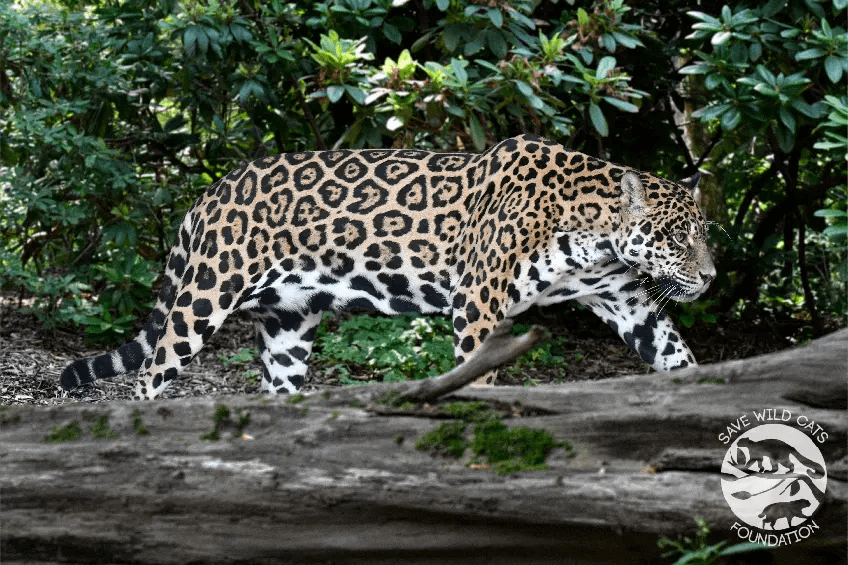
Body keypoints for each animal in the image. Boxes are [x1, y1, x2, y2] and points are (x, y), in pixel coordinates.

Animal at [61, 134, 716, 400]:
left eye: (702, 235)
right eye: (676, 237)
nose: (709, 278)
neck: (594, 230)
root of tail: (213, 189)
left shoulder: (626, 300)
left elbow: (674, 354)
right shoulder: (479, 302)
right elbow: (477, 375)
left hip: (287, 323)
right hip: (206, 292)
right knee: (152, 369)